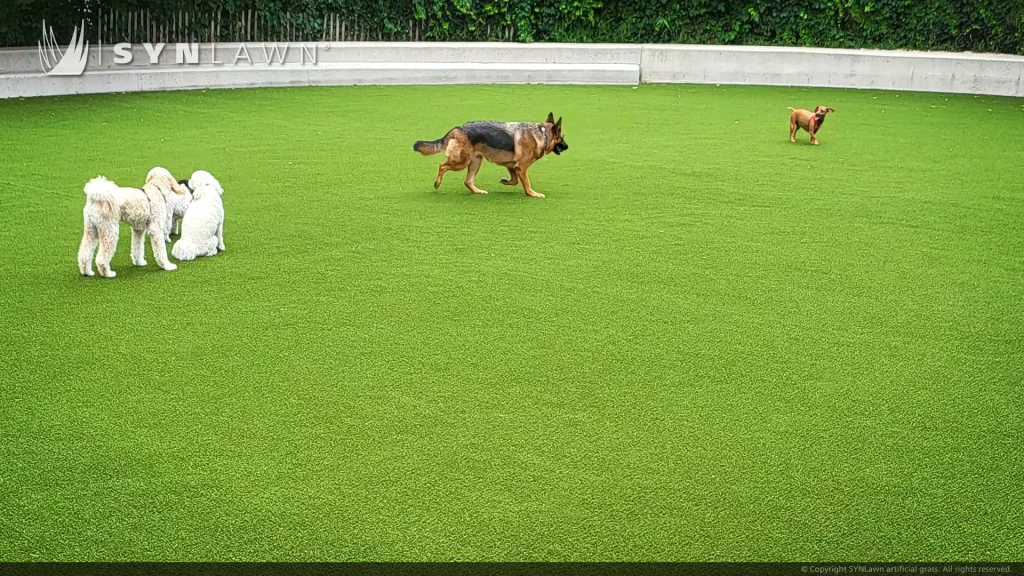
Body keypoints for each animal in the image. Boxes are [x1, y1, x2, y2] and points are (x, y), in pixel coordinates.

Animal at [411, 112, 569, 196]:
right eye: (562, 138)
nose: (567, 147)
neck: (542, 134)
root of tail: (459, 128)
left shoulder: (512, 167)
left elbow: (514, 180)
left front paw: (504, 181)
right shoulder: (521, 168)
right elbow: (526, 184)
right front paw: (533, 194)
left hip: (475, 162)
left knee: (467, 181)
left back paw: (477, 191)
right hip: (461, 162)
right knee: (442, 165)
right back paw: (437, 183)